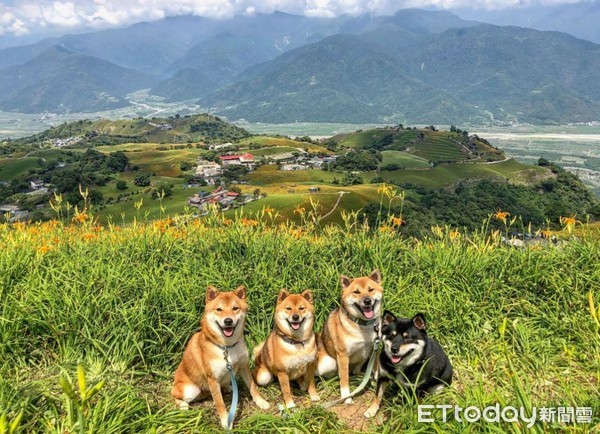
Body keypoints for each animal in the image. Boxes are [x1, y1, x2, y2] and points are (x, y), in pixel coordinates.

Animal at [171, 284, 270, 428]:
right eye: (219, 309)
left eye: (235, 308)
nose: (228, 321)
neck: (227, 347)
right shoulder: (212, 379)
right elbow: (220, 403)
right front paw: (225, 421)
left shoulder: (244, 366)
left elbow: (253, 387)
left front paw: (260, 401)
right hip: (190, 389)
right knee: (175, 396)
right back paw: (183, 405)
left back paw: (228, 387)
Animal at [316, 268, 382, 404]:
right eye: (356, 292)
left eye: (370, 289)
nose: (367, 301)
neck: (364, 326)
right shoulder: (343, 355)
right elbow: (345, 378)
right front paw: (346, 397)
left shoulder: (375, 349)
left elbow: (376, 368)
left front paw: (375, 380)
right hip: (330, 362)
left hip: (363, 355)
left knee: (356, 371)